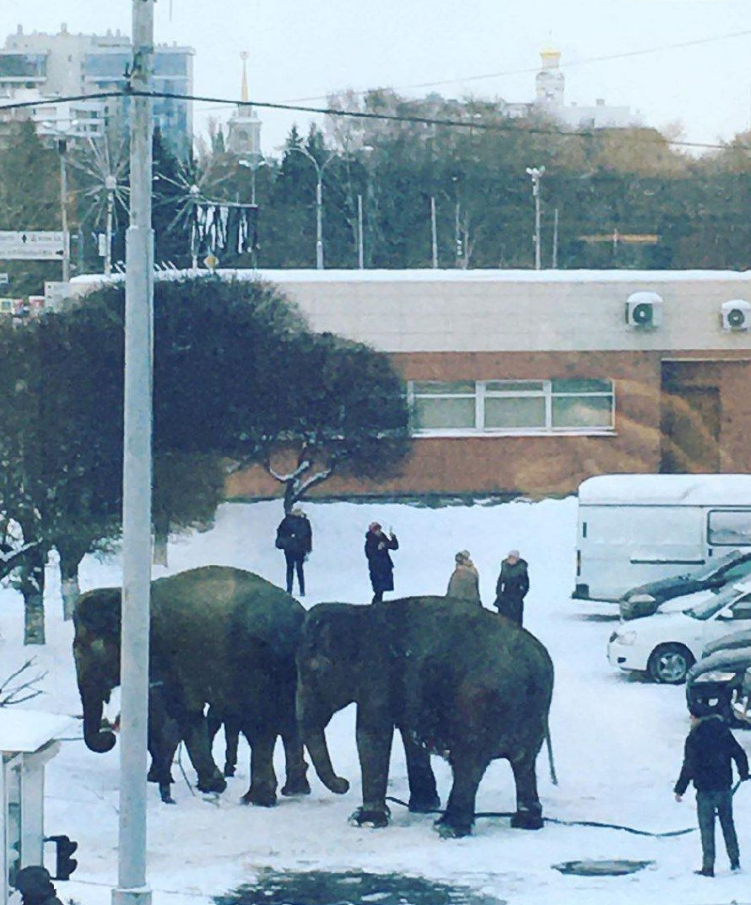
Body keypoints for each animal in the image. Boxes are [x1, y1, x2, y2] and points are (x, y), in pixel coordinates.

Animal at [73, 564, 312, 804]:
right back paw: (295, 790)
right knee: (289, 723)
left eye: (83, 650)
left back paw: (256, 798)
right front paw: (212, 784)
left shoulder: (168, 657)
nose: (109, 736)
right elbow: (189, 714)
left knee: (260, 726)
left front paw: (213, 785)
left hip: (255, 670)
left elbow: (183, 712)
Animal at [296, 596, 556, 836]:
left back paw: (448, 828)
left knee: (468, 763)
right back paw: (526, 822)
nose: (344, 783)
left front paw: (363, 820)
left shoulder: (377, 676)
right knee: (524, 763)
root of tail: (535, 667)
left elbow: (371, 733)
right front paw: (422, 805)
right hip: (531, 717)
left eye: (317, 672)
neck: (360, 613)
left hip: (480, 706)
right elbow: (410, 736)